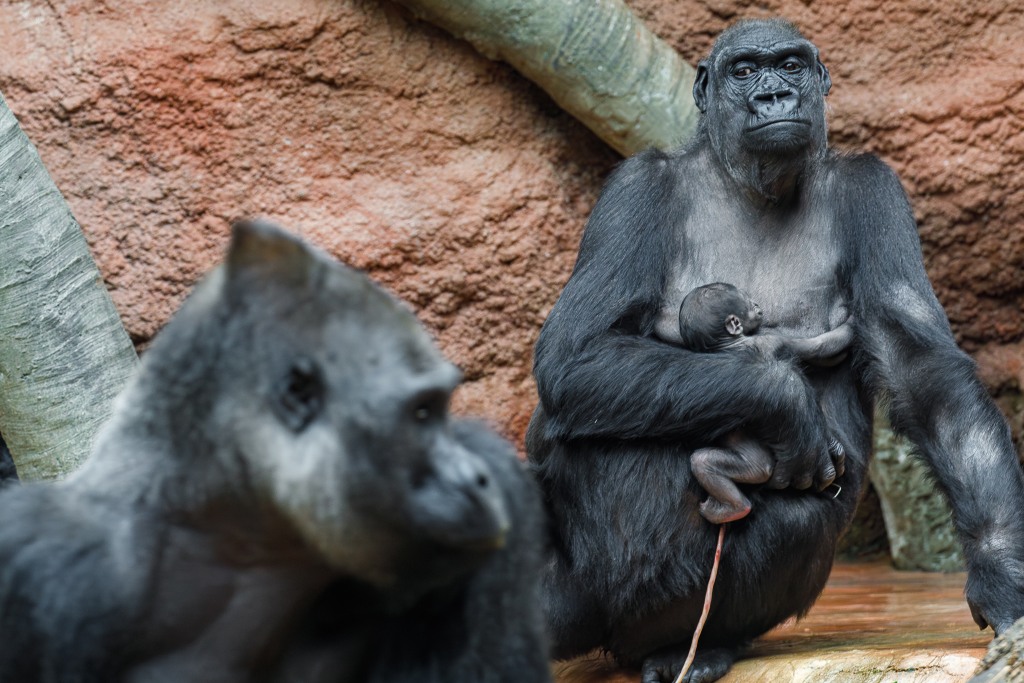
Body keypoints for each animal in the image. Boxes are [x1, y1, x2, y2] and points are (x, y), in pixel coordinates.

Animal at [679, 282, 847, 524]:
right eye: (748, 302)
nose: (757, 305)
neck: (730, 342)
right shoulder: (772, 338)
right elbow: (818, 346)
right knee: (706, 462)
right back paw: (732, 508)